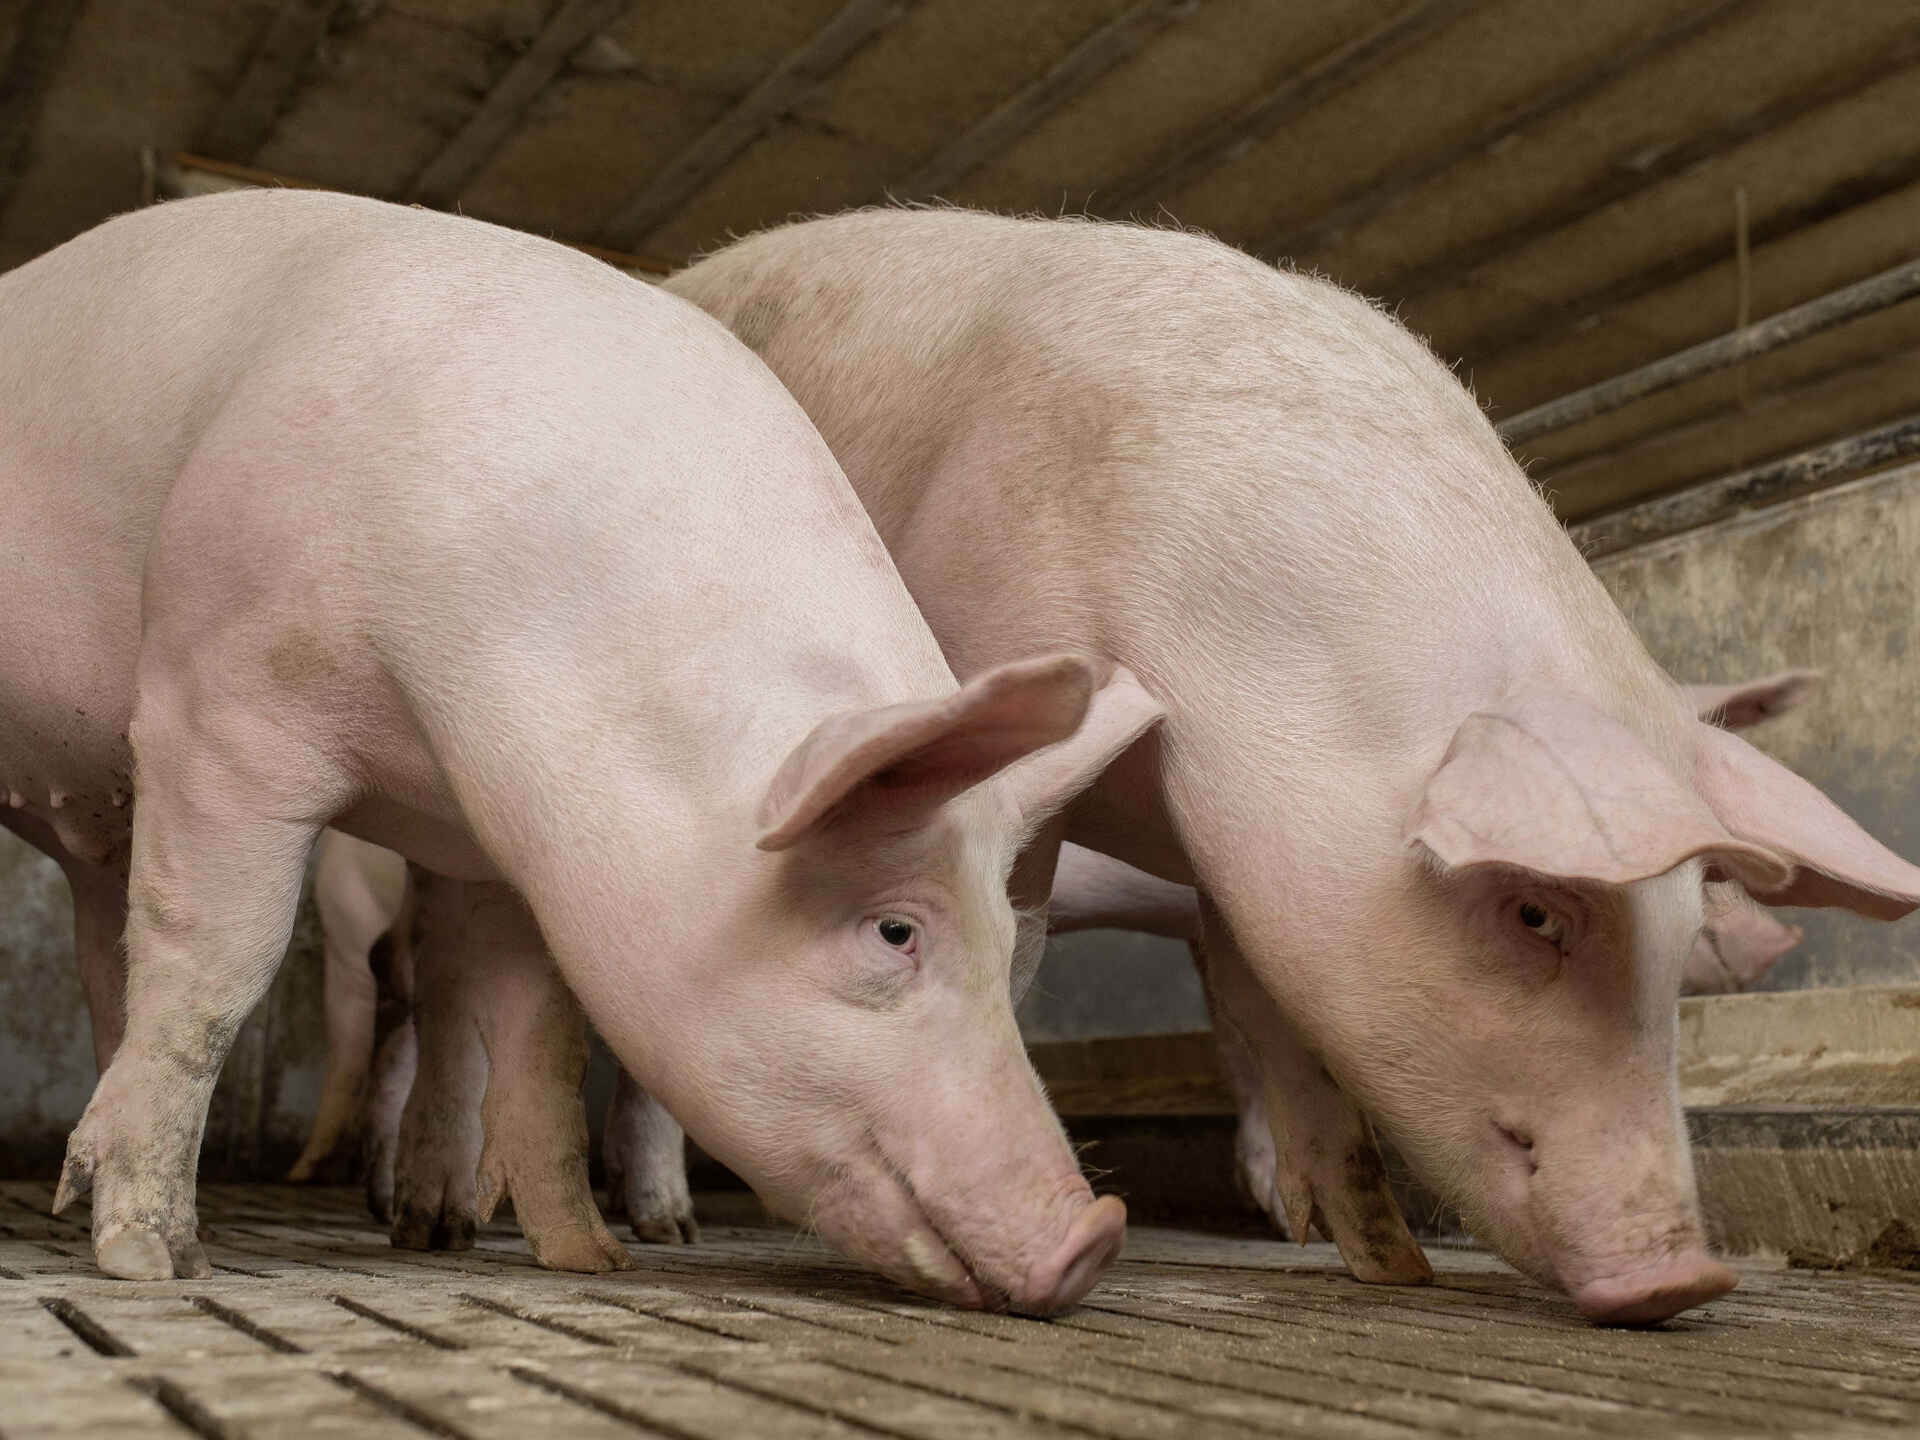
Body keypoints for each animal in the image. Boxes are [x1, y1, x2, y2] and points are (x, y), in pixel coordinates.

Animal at [1, 190, 1162, 1309]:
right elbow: (216, 973)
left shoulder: (509, 846)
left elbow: (541, 1041)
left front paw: (591, 1261)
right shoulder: (220, 695)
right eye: (894, 931)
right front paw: (156, 1263)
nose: (1097, 1235)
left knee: (114, 955)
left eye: (1010, 947)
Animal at [664, 208, 1920, 1322]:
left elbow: (1273, 1013)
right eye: (1532, 913)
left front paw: (1382, 1263)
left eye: (1686, 916)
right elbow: (1022, 938)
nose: (1687, 1277)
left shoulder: (1241, 854)